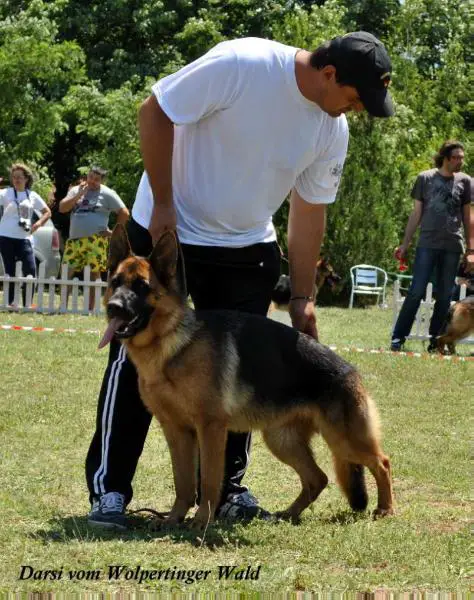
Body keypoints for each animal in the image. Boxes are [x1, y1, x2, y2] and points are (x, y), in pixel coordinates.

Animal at [100, 225, 392, 528]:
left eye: (142, 286)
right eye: (115, 282)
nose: (114, 307)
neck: (173, 343)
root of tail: (350, 370)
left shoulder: (210, 428)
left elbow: (209, 480)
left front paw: (201, 521)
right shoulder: (176, 431)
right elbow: (183, 482)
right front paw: (173, 519)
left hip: (344, 440)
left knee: (382, 463)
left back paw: (385, 509)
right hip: (282, 441)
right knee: (318, 478)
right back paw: (288, 514)